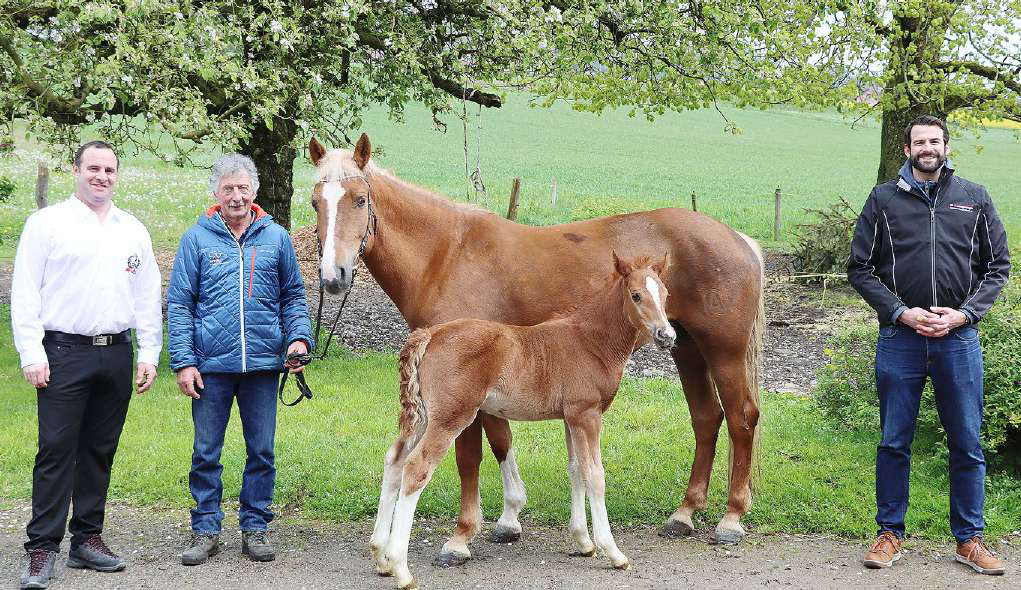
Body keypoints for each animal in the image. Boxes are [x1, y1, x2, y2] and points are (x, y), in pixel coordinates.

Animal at [371, 250, 673, 583]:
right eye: (636, 295)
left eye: (665, 294)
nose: (667, 335)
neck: (590, 340)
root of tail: (431, 334)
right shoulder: (587, 414)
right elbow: (595, 475)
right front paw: (614, 552)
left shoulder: (570, 417)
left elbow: (576, 469)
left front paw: (583, 541)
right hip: (449, 417)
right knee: (416, 468)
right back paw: (401, 569)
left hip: (423, 418)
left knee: (394, 460)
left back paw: (381, 557)